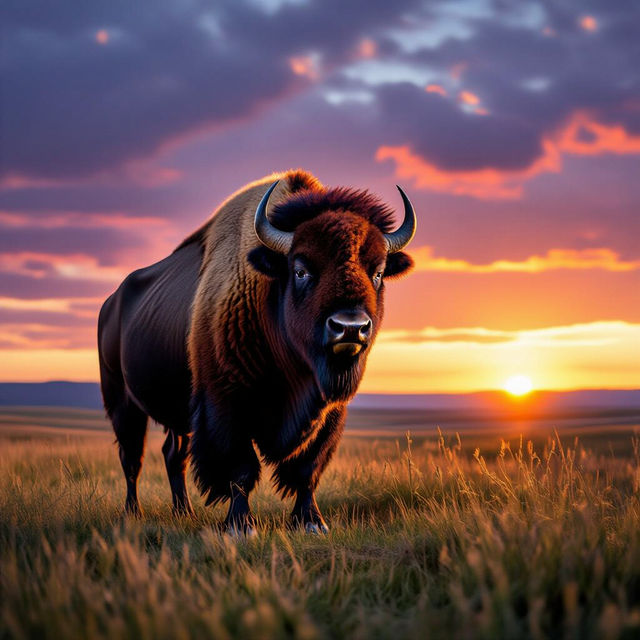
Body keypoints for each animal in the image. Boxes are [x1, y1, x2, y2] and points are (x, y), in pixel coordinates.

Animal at [98, 170, 415, 533]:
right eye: (300, 270)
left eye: (377, 272)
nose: (350, 327)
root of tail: (111, 303)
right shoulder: (225, 404)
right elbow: (241, 468)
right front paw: (240, 525)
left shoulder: (329, 413)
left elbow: (308, 468)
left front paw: (311, 521)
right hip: (123, 401)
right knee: (132, 458)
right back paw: (132, 513)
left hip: (177, 415)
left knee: (172, 455)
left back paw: (184, 512)